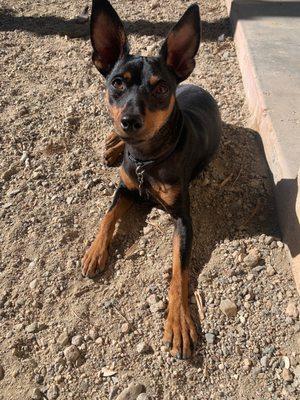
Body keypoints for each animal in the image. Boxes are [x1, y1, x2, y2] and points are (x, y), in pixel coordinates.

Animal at [81, 0, 221, 360]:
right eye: (117, 83)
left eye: (160, 88)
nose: (130, 121)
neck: (147, 158)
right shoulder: (125, 188)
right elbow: (106, 218)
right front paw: (95, 252)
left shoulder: (184, 219)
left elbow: (179, 272)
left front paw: (179, 323)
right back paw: (112, 146)